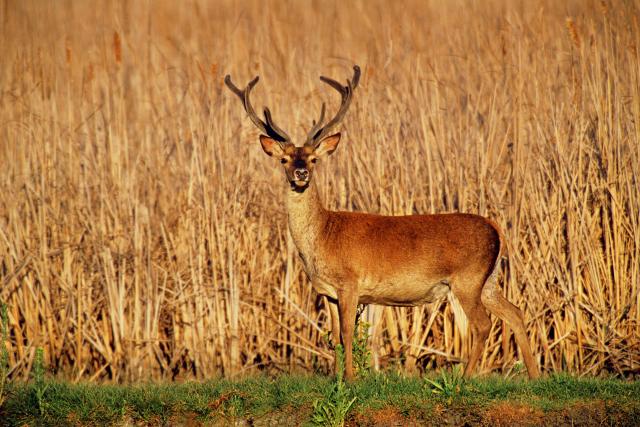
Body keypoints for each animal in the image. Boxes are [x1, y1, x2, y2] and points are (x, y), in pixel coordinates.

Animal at [224, 65, 540, 381]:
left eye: (314, 159)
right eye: (285, 159)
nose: (301, 174)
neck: (323, 235)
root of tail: (497, 230)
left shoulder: (350, 283)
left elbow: (348, 333)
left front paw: (351, 379)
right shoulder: (327, 292)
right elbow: (334, 334)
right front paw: (337, 378)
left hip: (468, 278)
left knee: (483, 324)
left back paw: (464, 379)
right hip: (489, 280)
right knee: (515, 312)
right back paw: (535, 376)